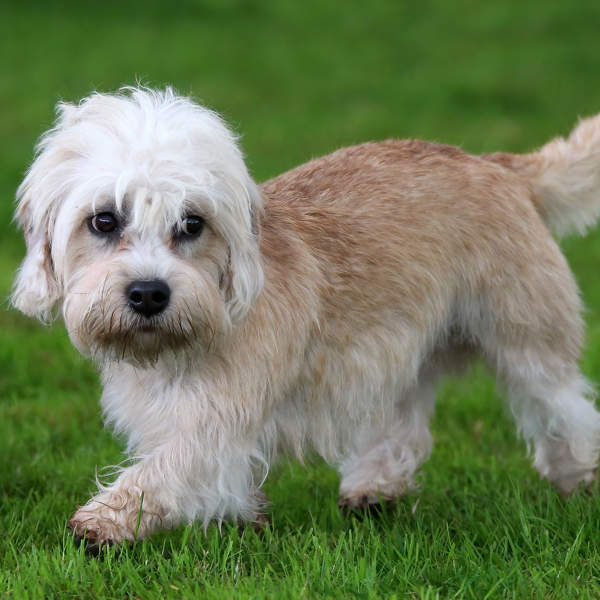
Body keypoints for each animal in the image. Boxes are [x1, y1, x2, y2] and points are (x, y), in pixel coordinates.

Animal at [10, 86, 600, 552]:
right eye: (104, 220)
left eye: (192, 223)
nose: (149, 293)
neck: (200, 332)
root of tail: (495, 163)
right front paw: (242, 523)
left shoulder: (214, 429)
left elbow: (165, 471)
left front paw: (101, 521)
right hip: (401, 350)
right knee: (403, 423)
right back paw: (373, 489)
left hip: (527, 340)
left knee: (565, 409)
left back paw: (579, 482)